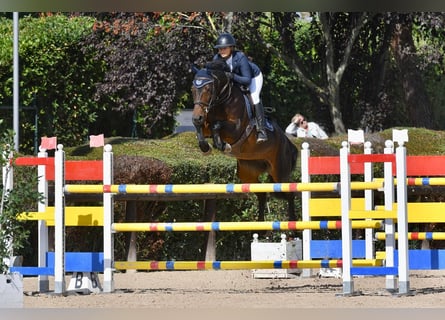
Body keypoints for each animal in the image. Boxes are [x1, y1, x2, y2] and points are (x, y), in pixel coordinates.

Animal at [189, 60, 296, 221]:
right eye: (192, 89)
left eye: (207, 88)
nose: (197, 116)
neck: (223, 99)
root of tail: (288, 143)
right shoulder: (205, 124)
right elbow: (201, 128)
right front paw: (206, 148)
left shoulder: (236, 129)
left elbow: (217, 125)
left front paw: (223, 145)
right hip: (248, 172)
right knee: (262, 194)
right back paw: (260, 224)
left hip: (279, 173)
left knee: (290, 194)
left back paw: (293, 223)